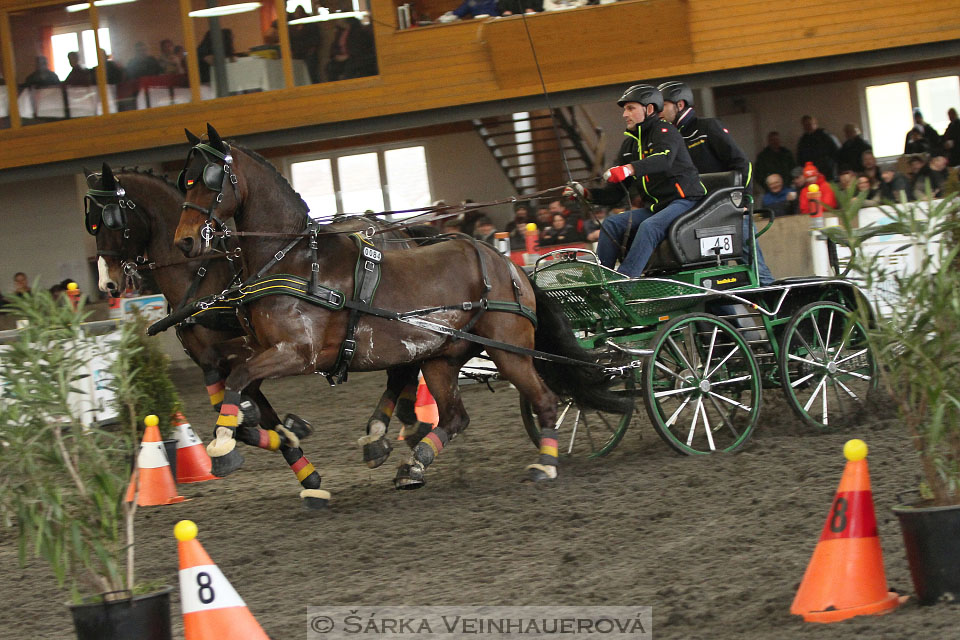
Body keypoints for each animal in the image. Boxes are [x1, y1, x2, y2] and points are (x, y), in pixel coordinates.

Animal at [87, 162, 432, 508]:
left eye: (111, 218)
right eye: (91, 224)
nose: (108, 284)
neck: (201, 276)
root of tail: (395, 231)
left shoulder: (260, 354)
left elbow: (242, 410)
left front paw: (272, 434)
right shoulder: (225, 358)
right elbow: (244, 411)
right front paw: (300, 456)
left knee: (404, 369)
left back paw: (389, 433)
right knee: (407, 367)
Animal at [171, 122, 632, 498]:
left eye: (209, 180)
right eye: (184, 181)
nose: (185, 242)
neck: (294, 259)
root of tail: (508, 264)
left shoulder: (298, 353)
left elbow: (239, 379)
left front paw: (225, 444)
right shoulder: (259, 347)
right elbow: (235, 378)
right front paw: (254, 429)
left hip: (508, 350)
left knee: (545, 399)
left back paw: (544, 465)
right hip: (443, 357)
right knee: (454, 416)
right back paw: (412, 464)